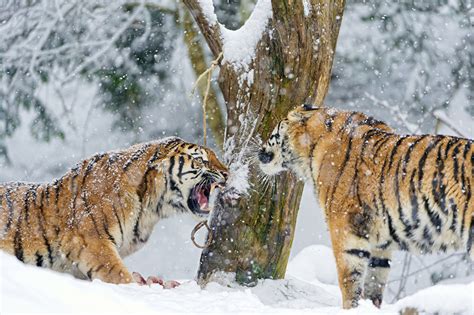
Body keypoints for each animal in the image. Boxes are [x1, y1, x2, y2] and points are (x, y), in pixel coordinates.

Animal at [260, 105, 474, 310]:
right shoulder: (381, 243)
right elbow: (374, 282)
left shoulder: (345, 227)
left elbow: (349, 280)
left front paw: (349, 308)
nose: (259, 151)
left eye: (272, 134)